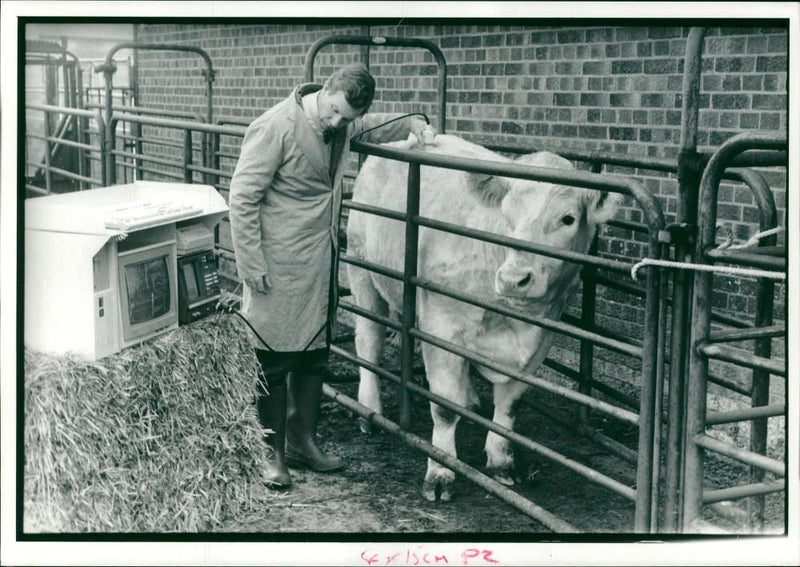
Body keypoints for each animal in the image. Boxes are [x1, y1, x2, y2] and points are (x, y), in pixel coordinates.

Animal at [344, 133, 620, 502]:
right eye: (507, 214)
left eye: (568, 219)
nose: (514, 279)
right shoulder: (442, 326)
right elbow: (444, 407)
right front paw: (441, 471)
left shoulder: (540, 337)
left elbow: (510, 404)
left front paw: (502, 461)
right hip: (363, 274)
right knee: (369, 343)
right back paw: (367, 410)